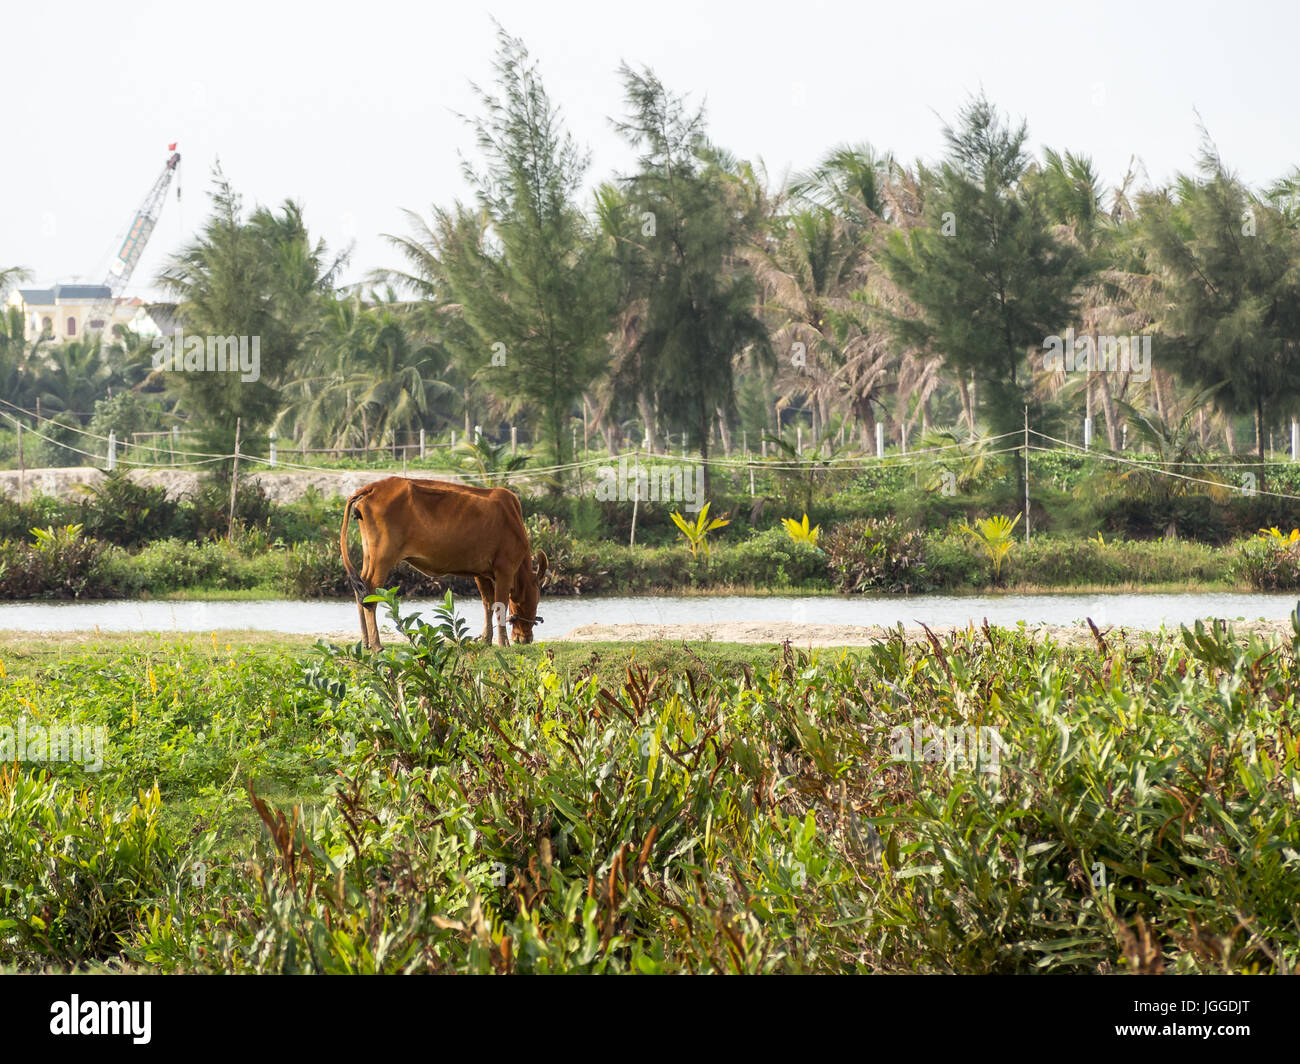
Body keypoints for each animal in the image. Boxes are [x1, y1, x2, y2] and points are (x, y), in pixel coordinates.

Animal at [338, 478, 546, 647]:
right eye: (536, 598)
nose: (526, 638)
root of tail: (372, 487)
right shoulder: (504, 569)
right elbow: (500, 604)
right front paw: (504, 643)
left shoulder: (481, 573)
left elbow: (488, 603)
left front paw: (486, 640)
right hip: (383, 557)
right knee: (370, 592)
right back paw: (376, 645)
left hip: (370, 555)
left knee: (361, 588)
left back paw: (365, 642)